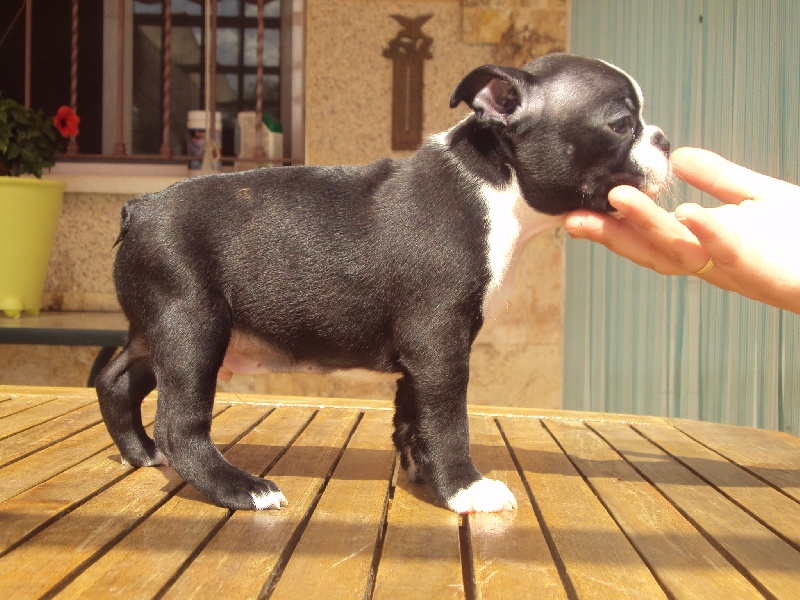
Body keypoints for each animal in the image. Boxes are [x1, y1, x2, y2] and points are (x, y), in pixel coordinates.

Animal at [96, 53, 670, 514]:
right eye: (622, 123)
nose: (665, 139)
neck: (495, 185)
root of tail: (140, 207)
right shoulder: (440, 343)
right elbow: (447, 420)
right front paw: (464, 489)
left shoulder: (424, 352)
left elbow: (413, 414)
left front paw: (422, 472)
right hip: (192, 324)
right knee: (180, 423)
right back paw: (242, 488)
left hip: (158, 327)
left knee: (115, 379)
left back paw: (141, 453)